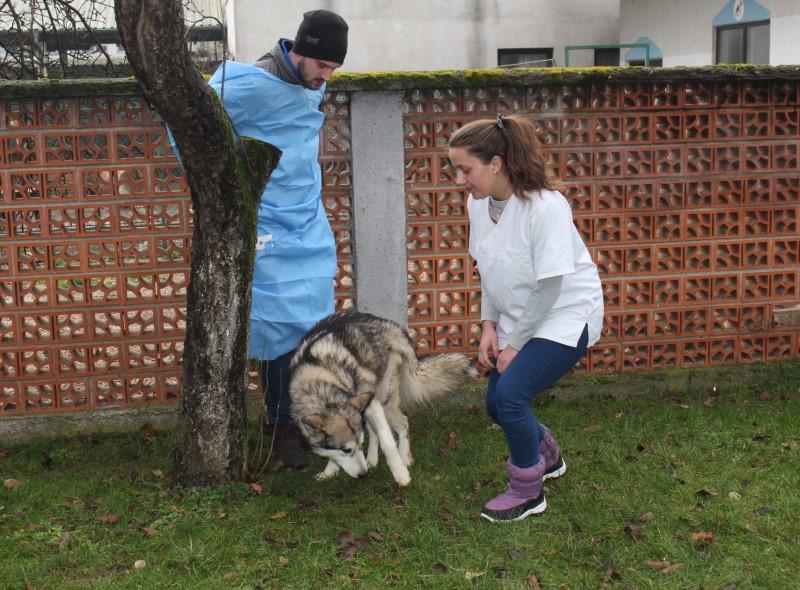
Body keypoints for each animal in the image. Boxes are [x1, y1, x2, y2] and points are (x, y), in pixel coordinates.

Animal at [290, 312, 472, 488]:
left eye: (360, 445)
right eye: (346, 450)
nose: (363, 475)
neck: (319, 378)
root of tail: (393, 327)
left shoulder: (373, 405)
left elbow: (388, 442)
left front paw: (401, 474)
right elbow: (334, 454)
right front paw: (329, 471)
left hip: (383, 400)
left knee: (403, 423)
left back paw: (404, 457)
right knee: (375, 430)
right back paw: (372, 459)